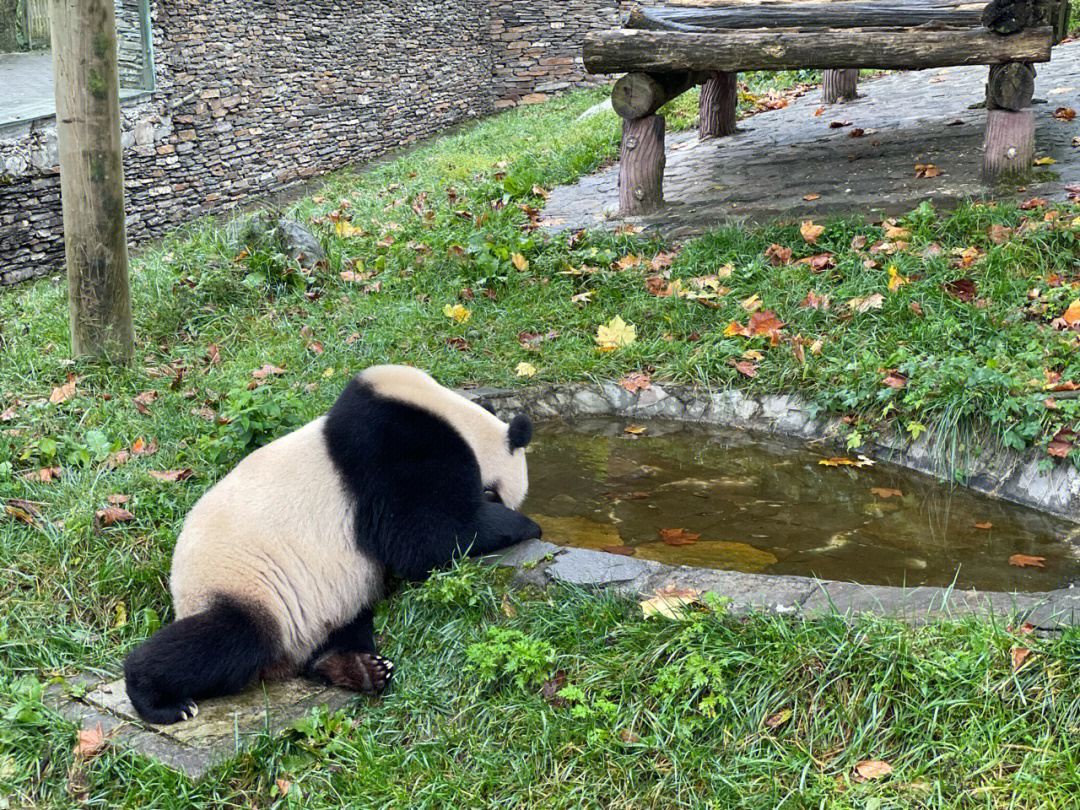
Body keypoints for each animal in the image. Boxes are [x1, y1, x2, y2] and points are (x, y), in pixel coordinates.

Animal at [124, 365, 540, 725]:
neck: (458, 419)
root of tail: (180, 593)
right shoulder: (397, 450)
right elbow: (425, 538)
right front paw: (528, 526)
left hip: (327, 598)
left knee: (346, 621)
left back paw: (355, 668)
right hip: (242, 582)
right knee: (228, 640)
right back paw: (158, 699)